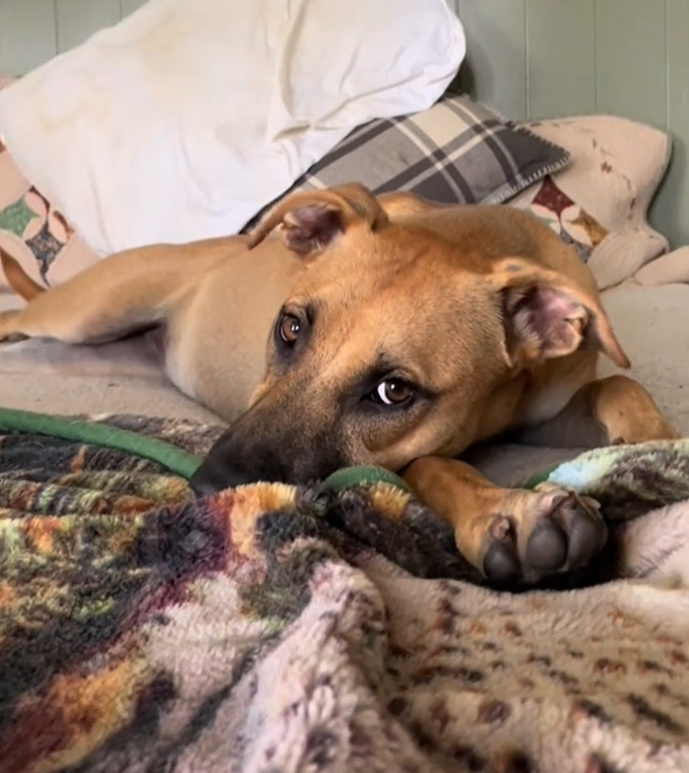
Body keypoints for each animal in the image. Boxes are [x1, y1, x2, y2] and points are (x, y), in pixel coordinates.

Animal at [0, 184, 676, 584]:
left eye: (394, 391)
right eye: (290, 326)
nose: (208, 489)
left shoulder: (550, 411)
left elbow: (620, 389)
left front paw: (653, 443)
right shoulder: (421, 457)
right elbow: (436, 465)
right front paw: (506, 508)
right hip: (82, 313)